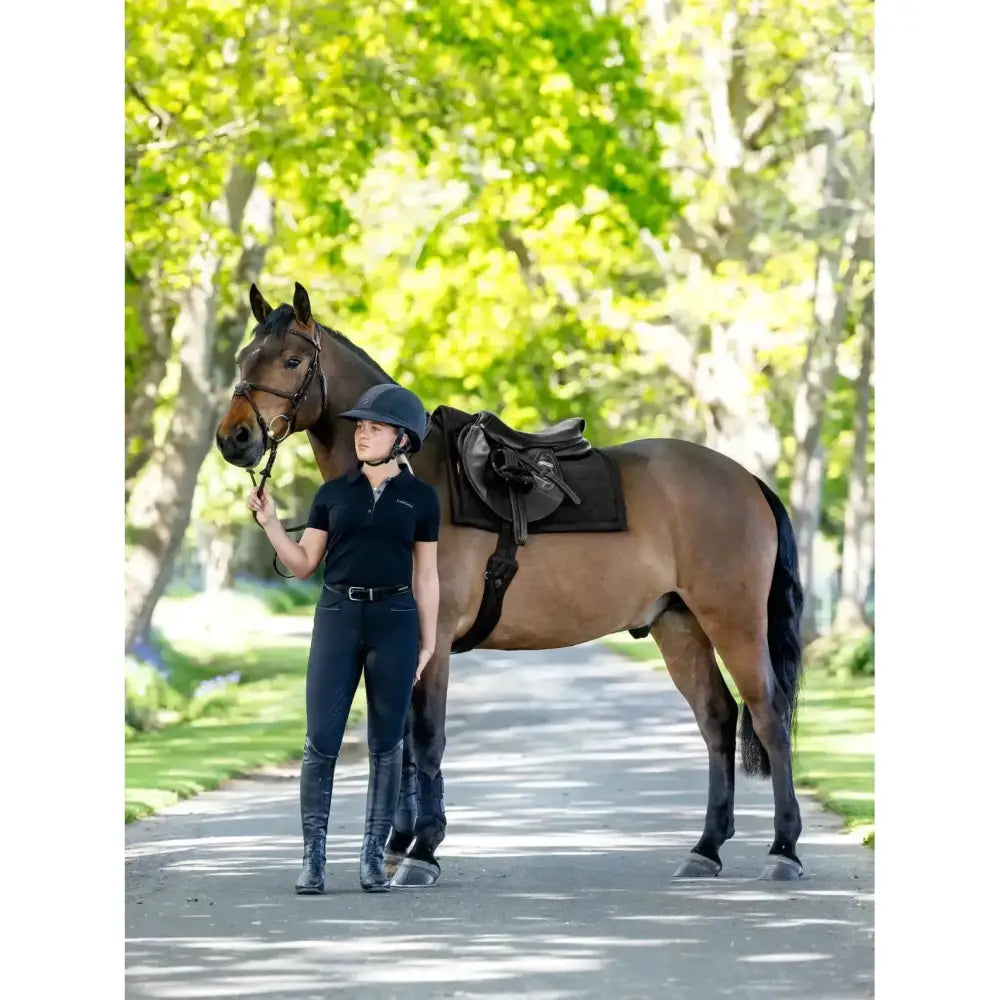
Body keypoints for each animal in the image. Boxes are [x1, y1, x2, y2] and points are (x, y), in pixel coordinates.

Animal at [215, 281, 807, 885]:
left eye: (291, 360)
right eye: (243, 358)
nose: (234, 438)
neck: (408, 479)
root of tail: (745, 478)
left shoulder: (435, 640)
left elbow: (426, 737)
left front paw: (423, 849)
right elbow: (403, 738)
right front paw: (400, 843)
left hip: (733, 621)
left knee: (768, 715)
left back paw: (783, 849)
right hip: (679, 625)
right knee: (718, 718)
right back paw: (706, 847)